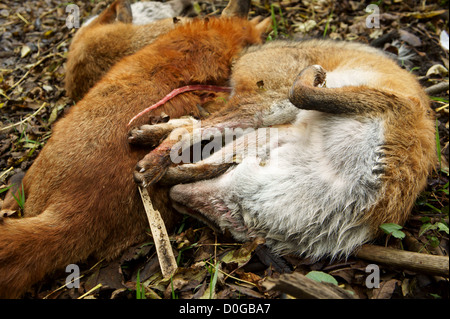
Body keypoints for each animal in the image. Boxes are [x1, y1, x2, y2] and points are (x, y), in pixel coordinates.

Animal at [133, 38, 436, 262]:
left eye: (220, 222)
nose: (176, 198)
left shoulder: (287, 136)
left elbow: (201, 167)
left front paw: (174, 174)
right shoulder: (395, 108)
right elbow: (302, 92)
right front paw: (314, 74)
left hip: (263, 125)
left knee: (189, 128)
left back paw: (151, 146)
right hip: (267, 110)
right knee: (189, 129)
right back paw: (152, 161)